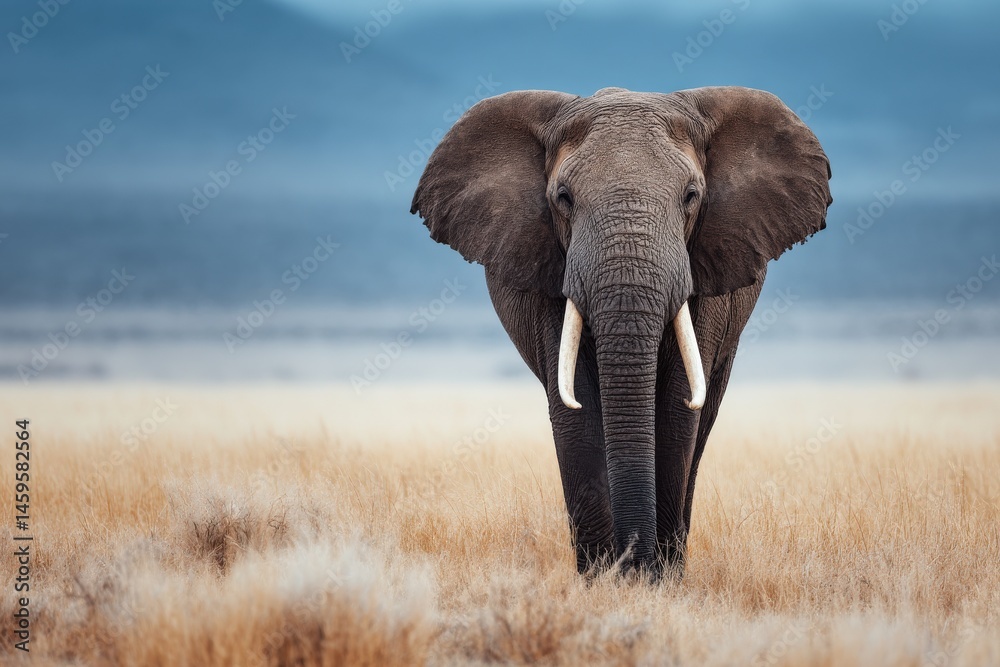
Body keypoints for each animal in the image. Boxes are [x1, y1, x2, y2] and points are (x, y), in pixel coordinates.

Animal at [410, 86, 832, 577]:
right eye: (564, 198)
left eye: (691, 196)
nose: (634, 565)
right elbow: (575, 407)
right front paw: (603, 579)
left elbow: (677, 408)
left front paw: (656, 580)